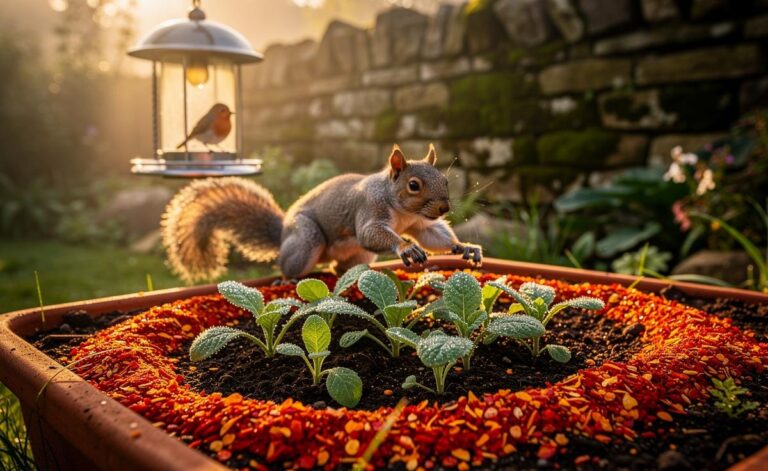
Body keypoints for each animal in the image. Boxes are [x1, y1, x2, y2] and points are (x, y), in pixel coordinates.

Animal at [162, 144, 482, 282]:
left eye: (445, 180)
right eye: (413, 185)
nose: (443, 207)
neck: (400, 208)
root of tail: (282, 235)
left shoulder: (420, 223)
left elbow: (433, 236)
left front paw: (463, 247)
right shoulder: (369, 208)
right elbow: (370, 232)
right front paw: (405, 247)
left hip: (358, 255)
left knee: (339, 269)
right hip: (306, 239)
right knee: (288, 265)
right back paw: (289, 279)